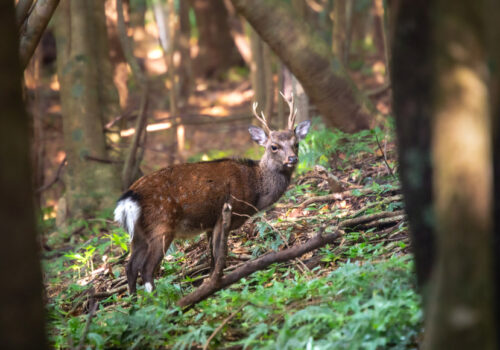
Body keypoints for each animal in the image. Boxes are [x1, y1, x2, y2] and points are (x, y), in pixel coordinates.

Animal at [114, 93, 308, 292]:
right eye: (274, 146)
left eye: (296, 144)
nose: (292, 158)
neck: (254, 190)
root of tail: (128, 199)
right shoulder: (223, 216)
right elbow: (220, 253)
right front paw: (217, 284)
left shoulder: (209, 223)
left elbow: (212, 258)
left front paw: (210, 282)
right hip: (161, 226)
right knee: (145, 268)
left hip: (138, 234)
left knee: (130, 267)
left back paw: (135, 300)